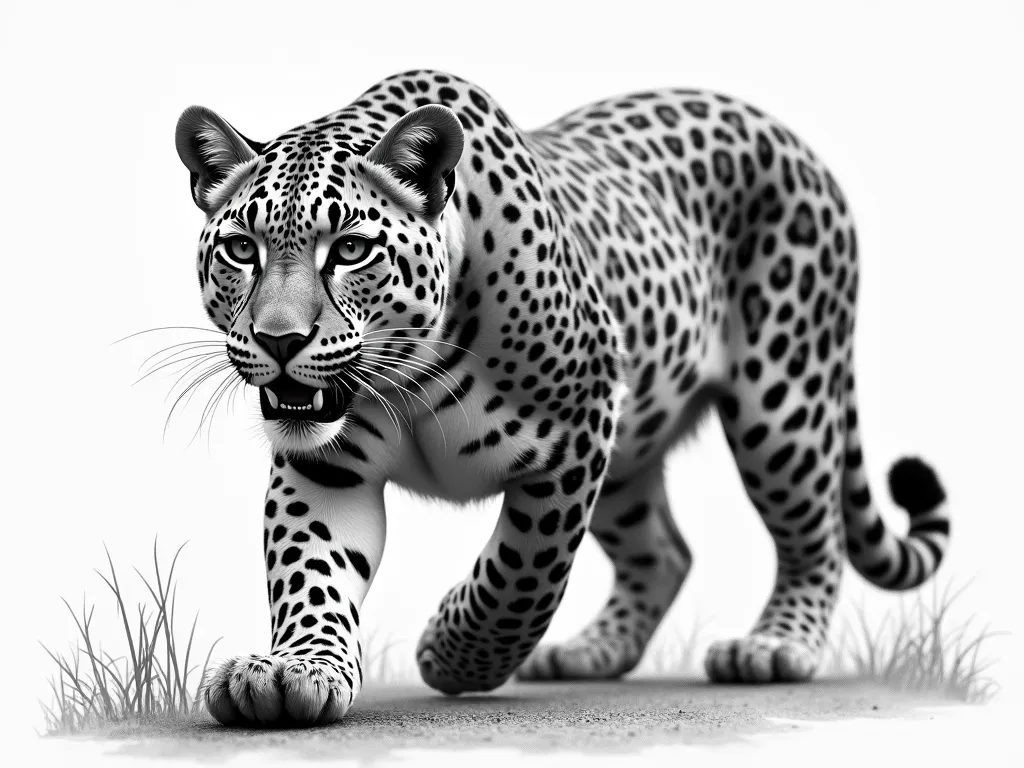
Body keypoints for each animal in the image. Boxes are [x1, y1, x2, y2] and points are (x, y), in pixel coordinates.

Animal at [174, 69, 950, 726]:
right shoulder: (327, 467)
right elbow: (311, 572)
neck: (412, 374)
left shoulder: (576, 430)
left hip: (784, 403)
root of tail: (784, 133)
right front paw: (294, 672)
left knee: (815, 535)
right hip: (636, 452)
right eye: (242, 249)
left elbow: (523, 569)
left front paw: (454, 654)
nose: (279, 339)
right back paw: (591, 651)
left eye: (350, 250)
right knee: (665, 553)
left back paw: (775, 647)